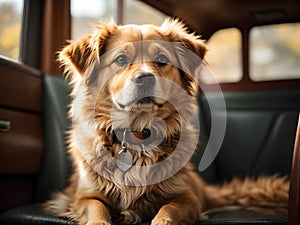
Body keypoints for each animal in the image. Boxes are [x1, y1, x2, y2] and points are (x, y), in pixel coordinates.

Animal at [45, 19, 290, 225]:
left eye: (162, 60)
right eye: (121, 59)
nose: (145, 79)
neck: (139, 133)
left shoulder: (187, 197)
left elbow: (170, 209)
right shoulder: (82, 197)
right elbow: (96, 208)